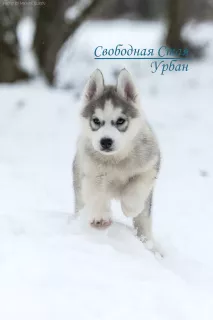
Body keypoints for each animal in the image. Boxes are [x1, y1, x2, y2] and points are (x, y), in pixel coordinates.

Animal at [72, 69, 161, 250]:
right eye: (96, 121)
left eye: (120, 121)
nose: (106, 141)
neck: (116, 160)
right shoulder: (92, 173)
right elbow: (96, 193)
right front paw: (100, 218)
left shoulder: (150, 165)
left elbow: (137, 188)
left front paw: (130, 207)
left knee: (143, 222)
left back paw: (150, 246)